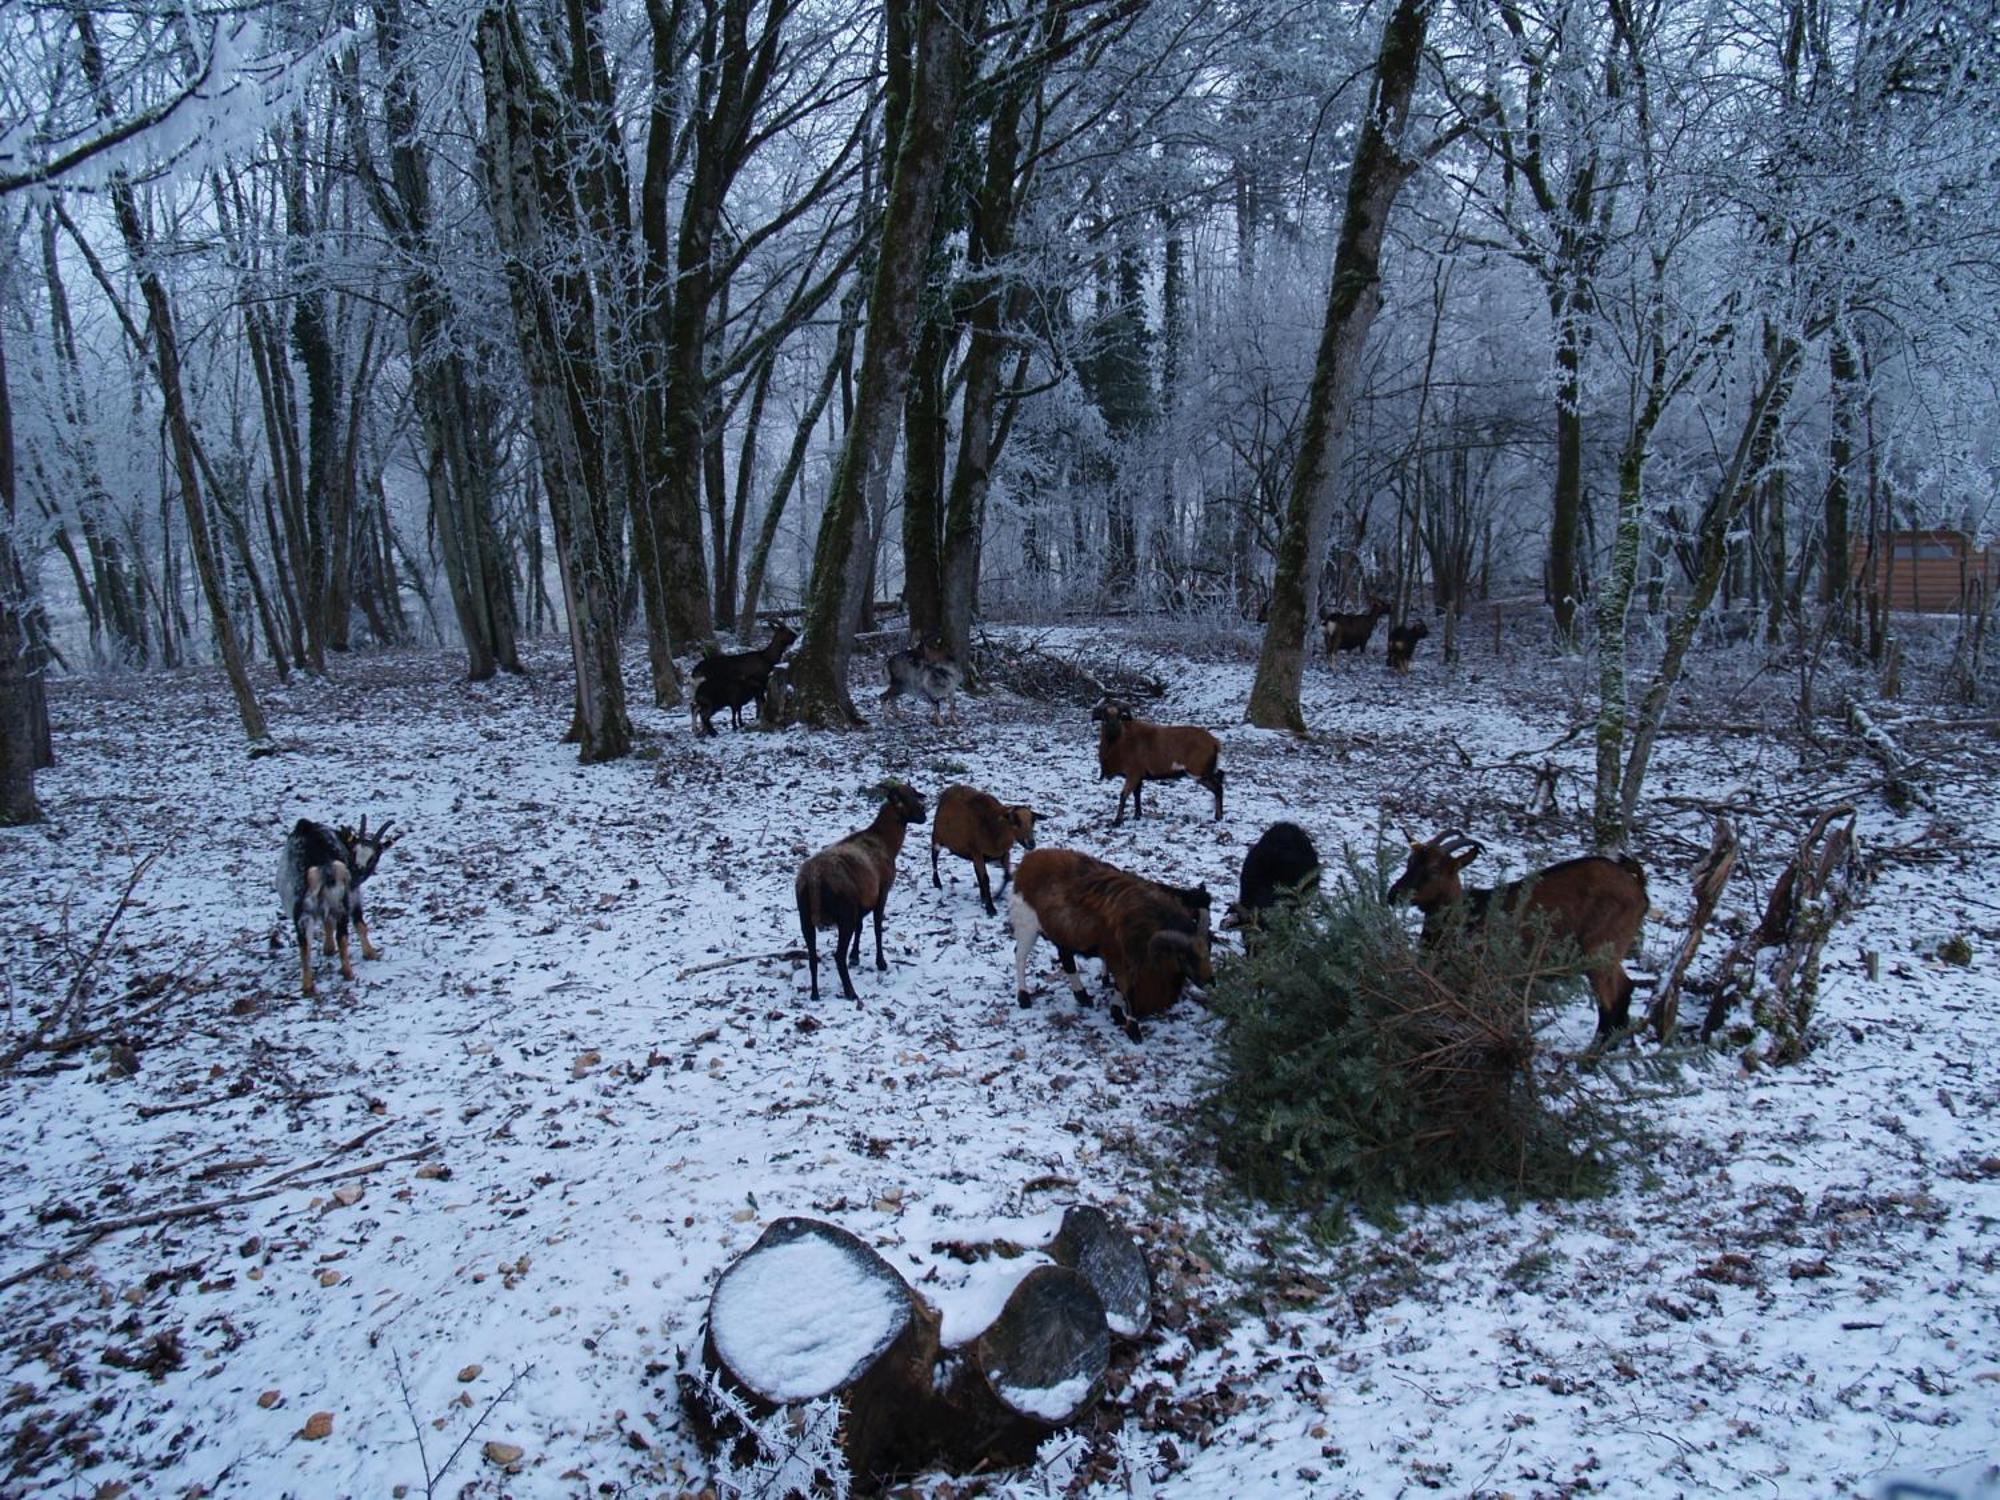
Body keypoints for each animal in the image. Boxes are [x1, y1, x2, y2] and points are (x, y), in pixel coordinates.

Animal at [788, 780, 928, 1004]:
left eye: (915, 793)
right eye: (908, 799)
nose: (924, 816)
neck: (886, 842)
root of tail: (813, 879)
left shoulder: (862, 901)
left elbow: (861, 927)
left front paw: (855, 957)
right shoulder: (882, 892)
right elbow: (877, 928)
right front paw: (881, 963)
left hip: (805, 916)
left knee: (812, 956)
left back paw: (815, 994)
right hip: (844, 913)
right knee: (837, 955)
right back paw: (851, 992)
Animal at [928, 788, 1040, 916]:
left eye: (1033, 821)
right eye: (1015, 821)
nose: (1031, 843)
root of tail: (950, 788)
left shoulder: (1004, 853)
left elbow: (1007, 876)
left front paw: (995, 896)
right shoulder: (977, 852)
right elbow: (986, 879)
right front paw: (991, 908)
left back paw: (982, 895)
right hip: (937, 837)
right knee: (934, 857)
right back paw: (937, 882)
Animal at [1008, 852, 1208, 1040]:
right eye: (1185, 955)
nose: (1210, 981)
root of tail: (1028, 861)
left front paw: (1116, 1012)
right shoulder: (1123, 960)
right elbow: (1128, 991)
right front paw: (1131, 1028)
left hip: (1061, 931)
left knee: (1065, 958)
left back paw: (1082, 996)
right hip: (1027, 925)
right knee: (1020, 955)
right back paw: (1024, 998)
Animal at [1384, 828, 1648, 1040]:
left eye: (1434, 870)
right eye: (1409, 862)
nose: (1393, 895)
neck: (1465, 917)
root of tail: (1638, 887)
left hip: (1599, 950)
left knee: (1611, 1002)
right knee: (1626, 988)